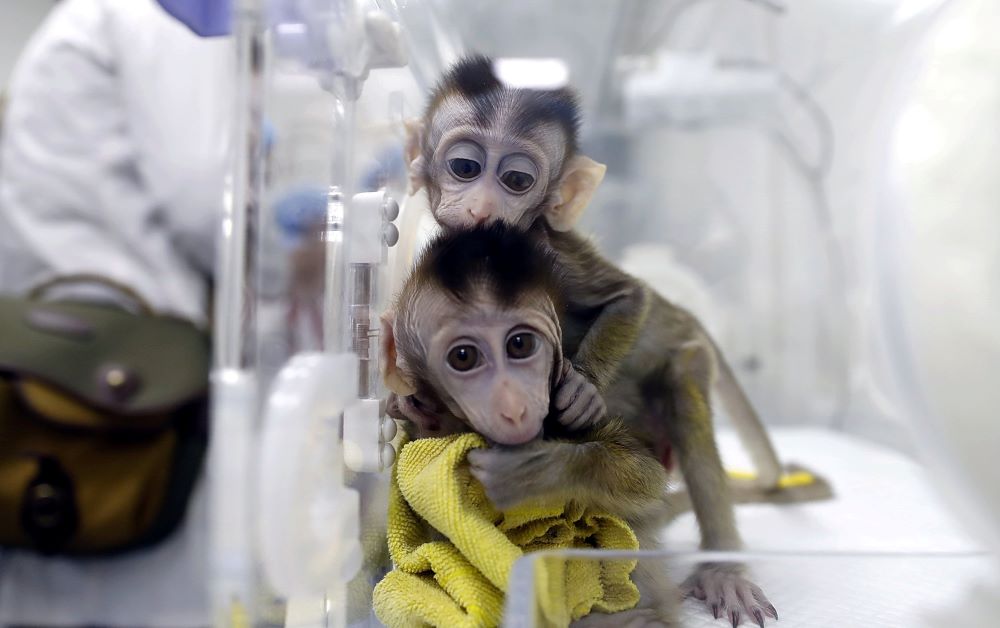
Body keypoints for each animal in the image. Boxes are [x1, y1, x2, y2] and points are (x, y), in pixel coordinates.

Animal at [382, 223, 680, 624]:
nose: (513, 407)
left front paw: (534, 470)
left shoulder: (567, 417)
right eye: (464, 357)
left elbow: (649, 480)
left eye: (520, 344)